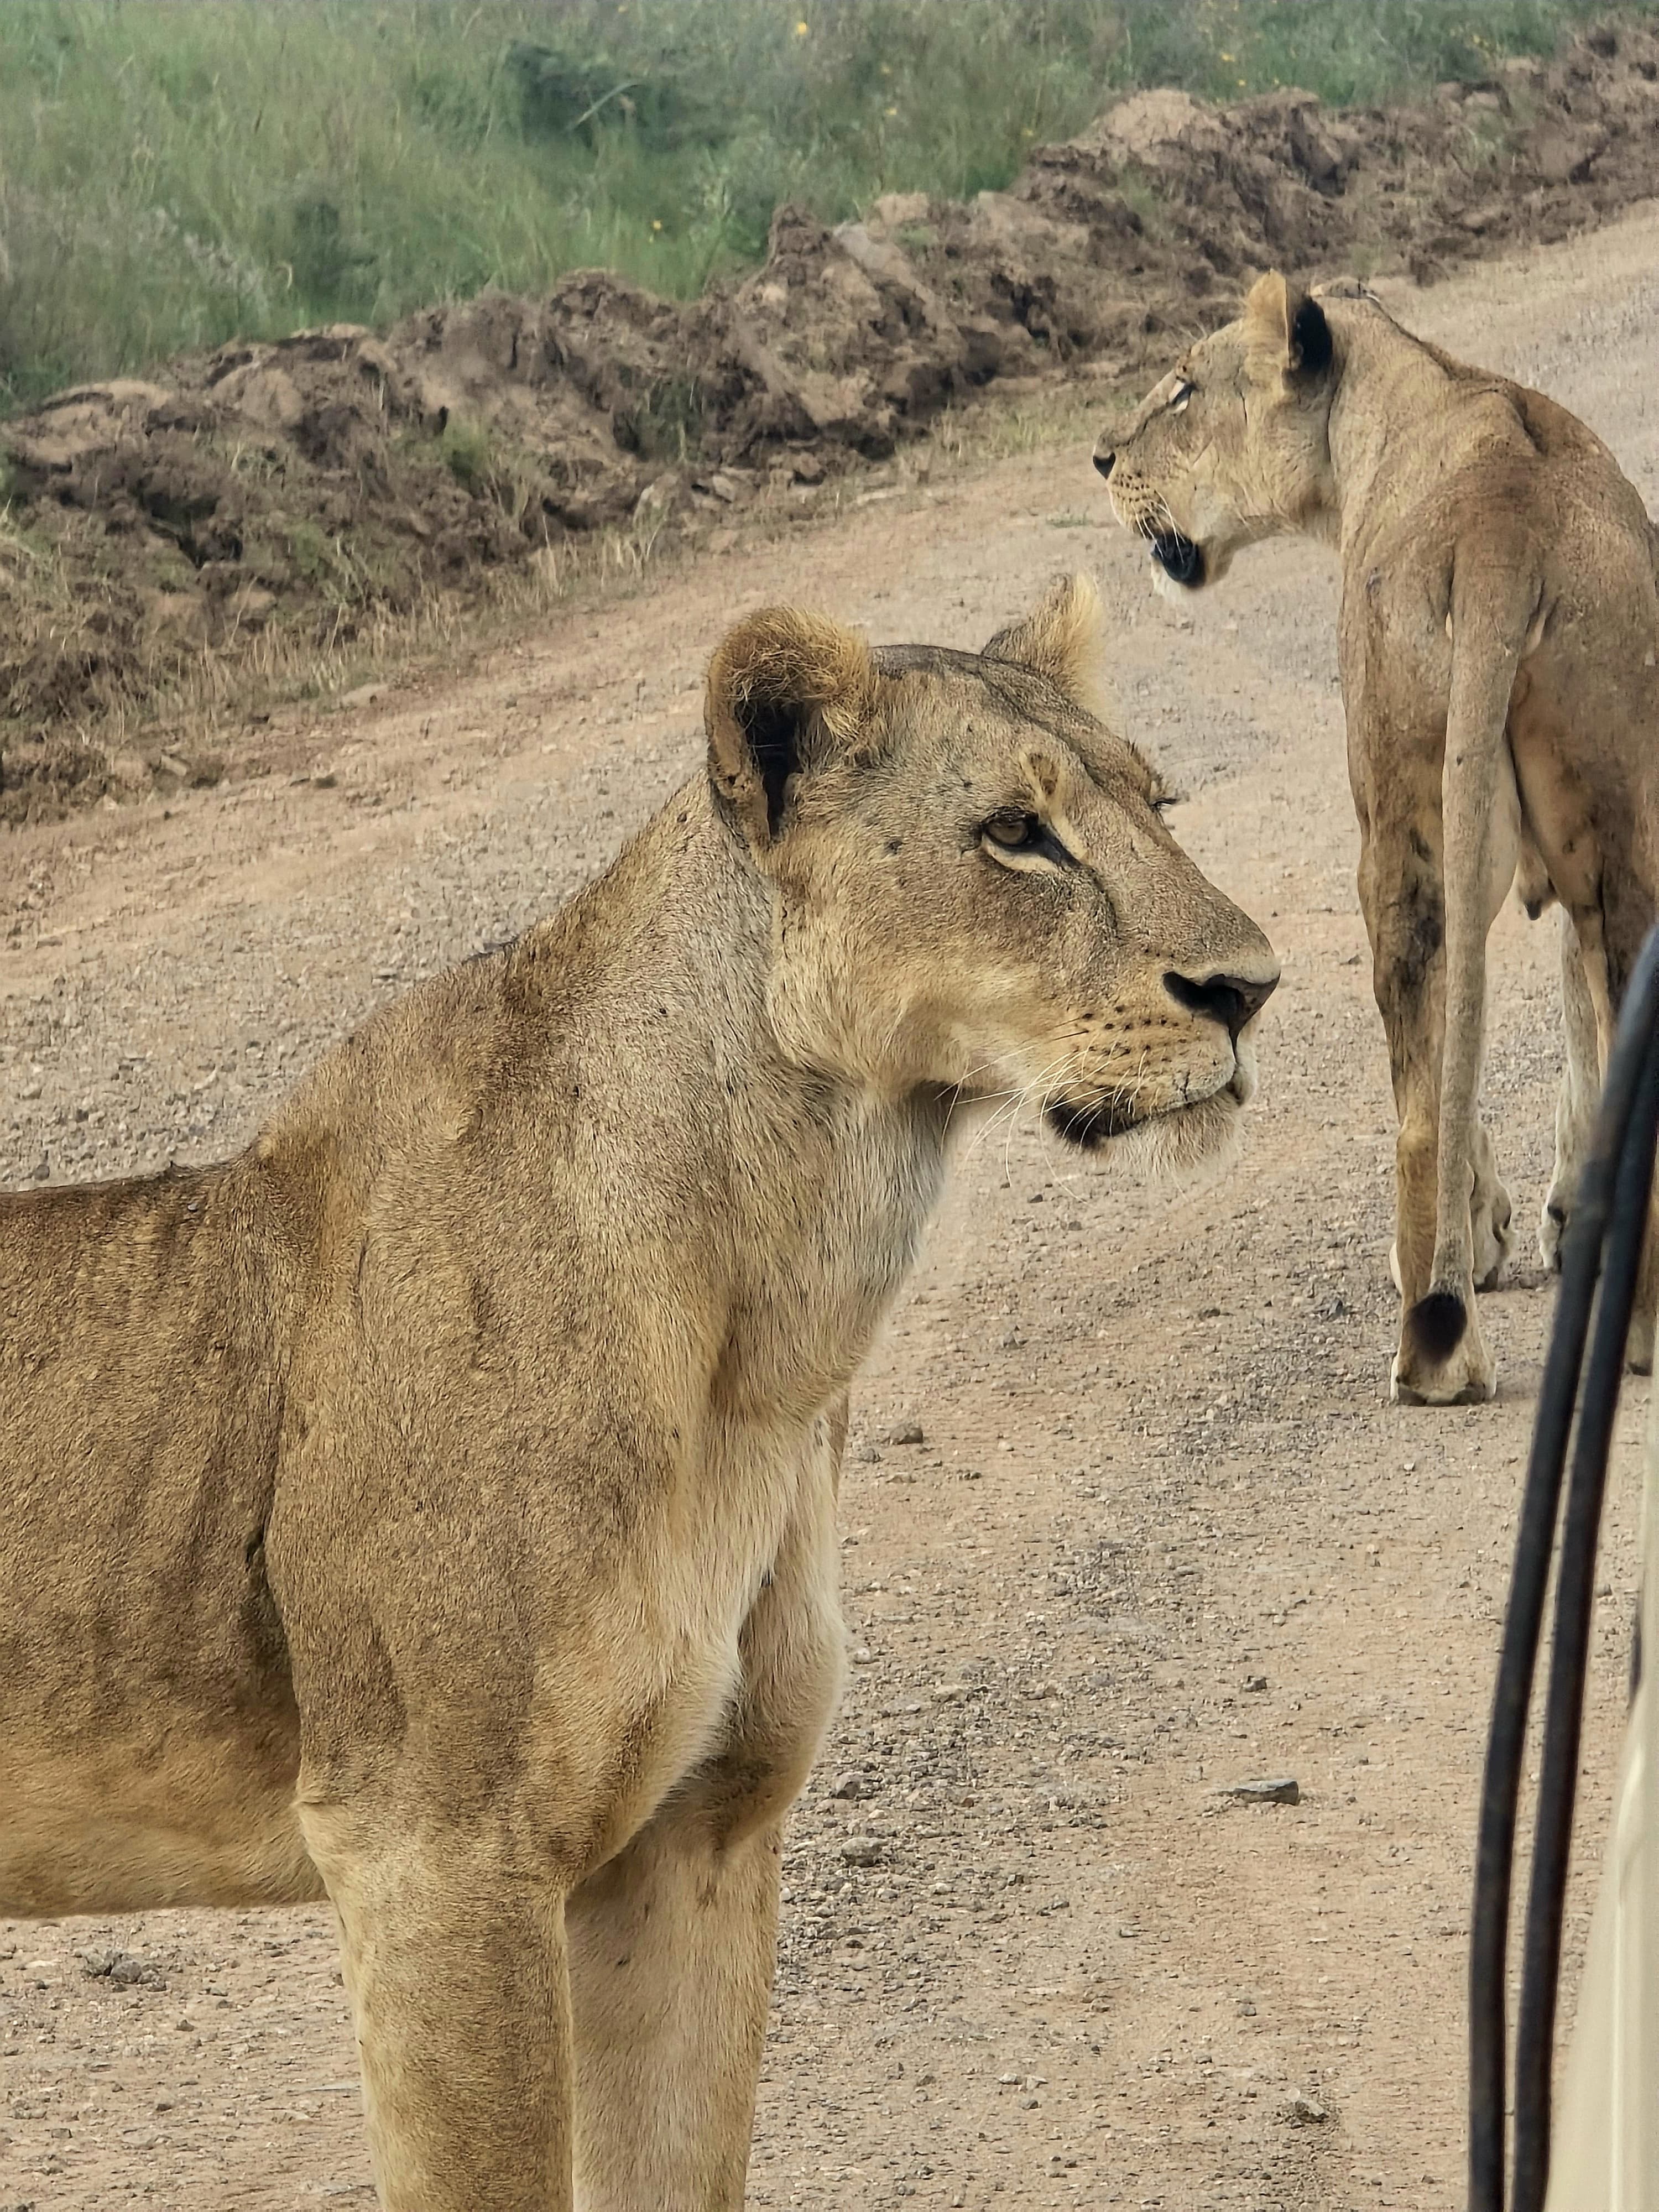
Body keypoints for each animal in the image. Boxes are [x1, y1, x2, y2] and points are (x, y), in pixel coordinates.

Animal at [0, 576, 1278, 2212]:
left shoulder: (701, 1829)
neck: (774, 1319)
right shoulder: (433, 1848)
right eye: (1012, 832)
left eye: (1155, 805)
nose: (1250, 989)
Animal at [1095, 273, 1659, 1405]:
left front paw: (1491, 1235)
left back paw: (1434, 1343)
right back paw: (1638, 1328)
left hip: (1399, 835)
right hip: (1617, 820)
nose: (1098, 457)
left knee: (1422, 1093)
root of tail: (1502, 535)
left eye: (1182, 389)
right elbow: (1578, 1032)